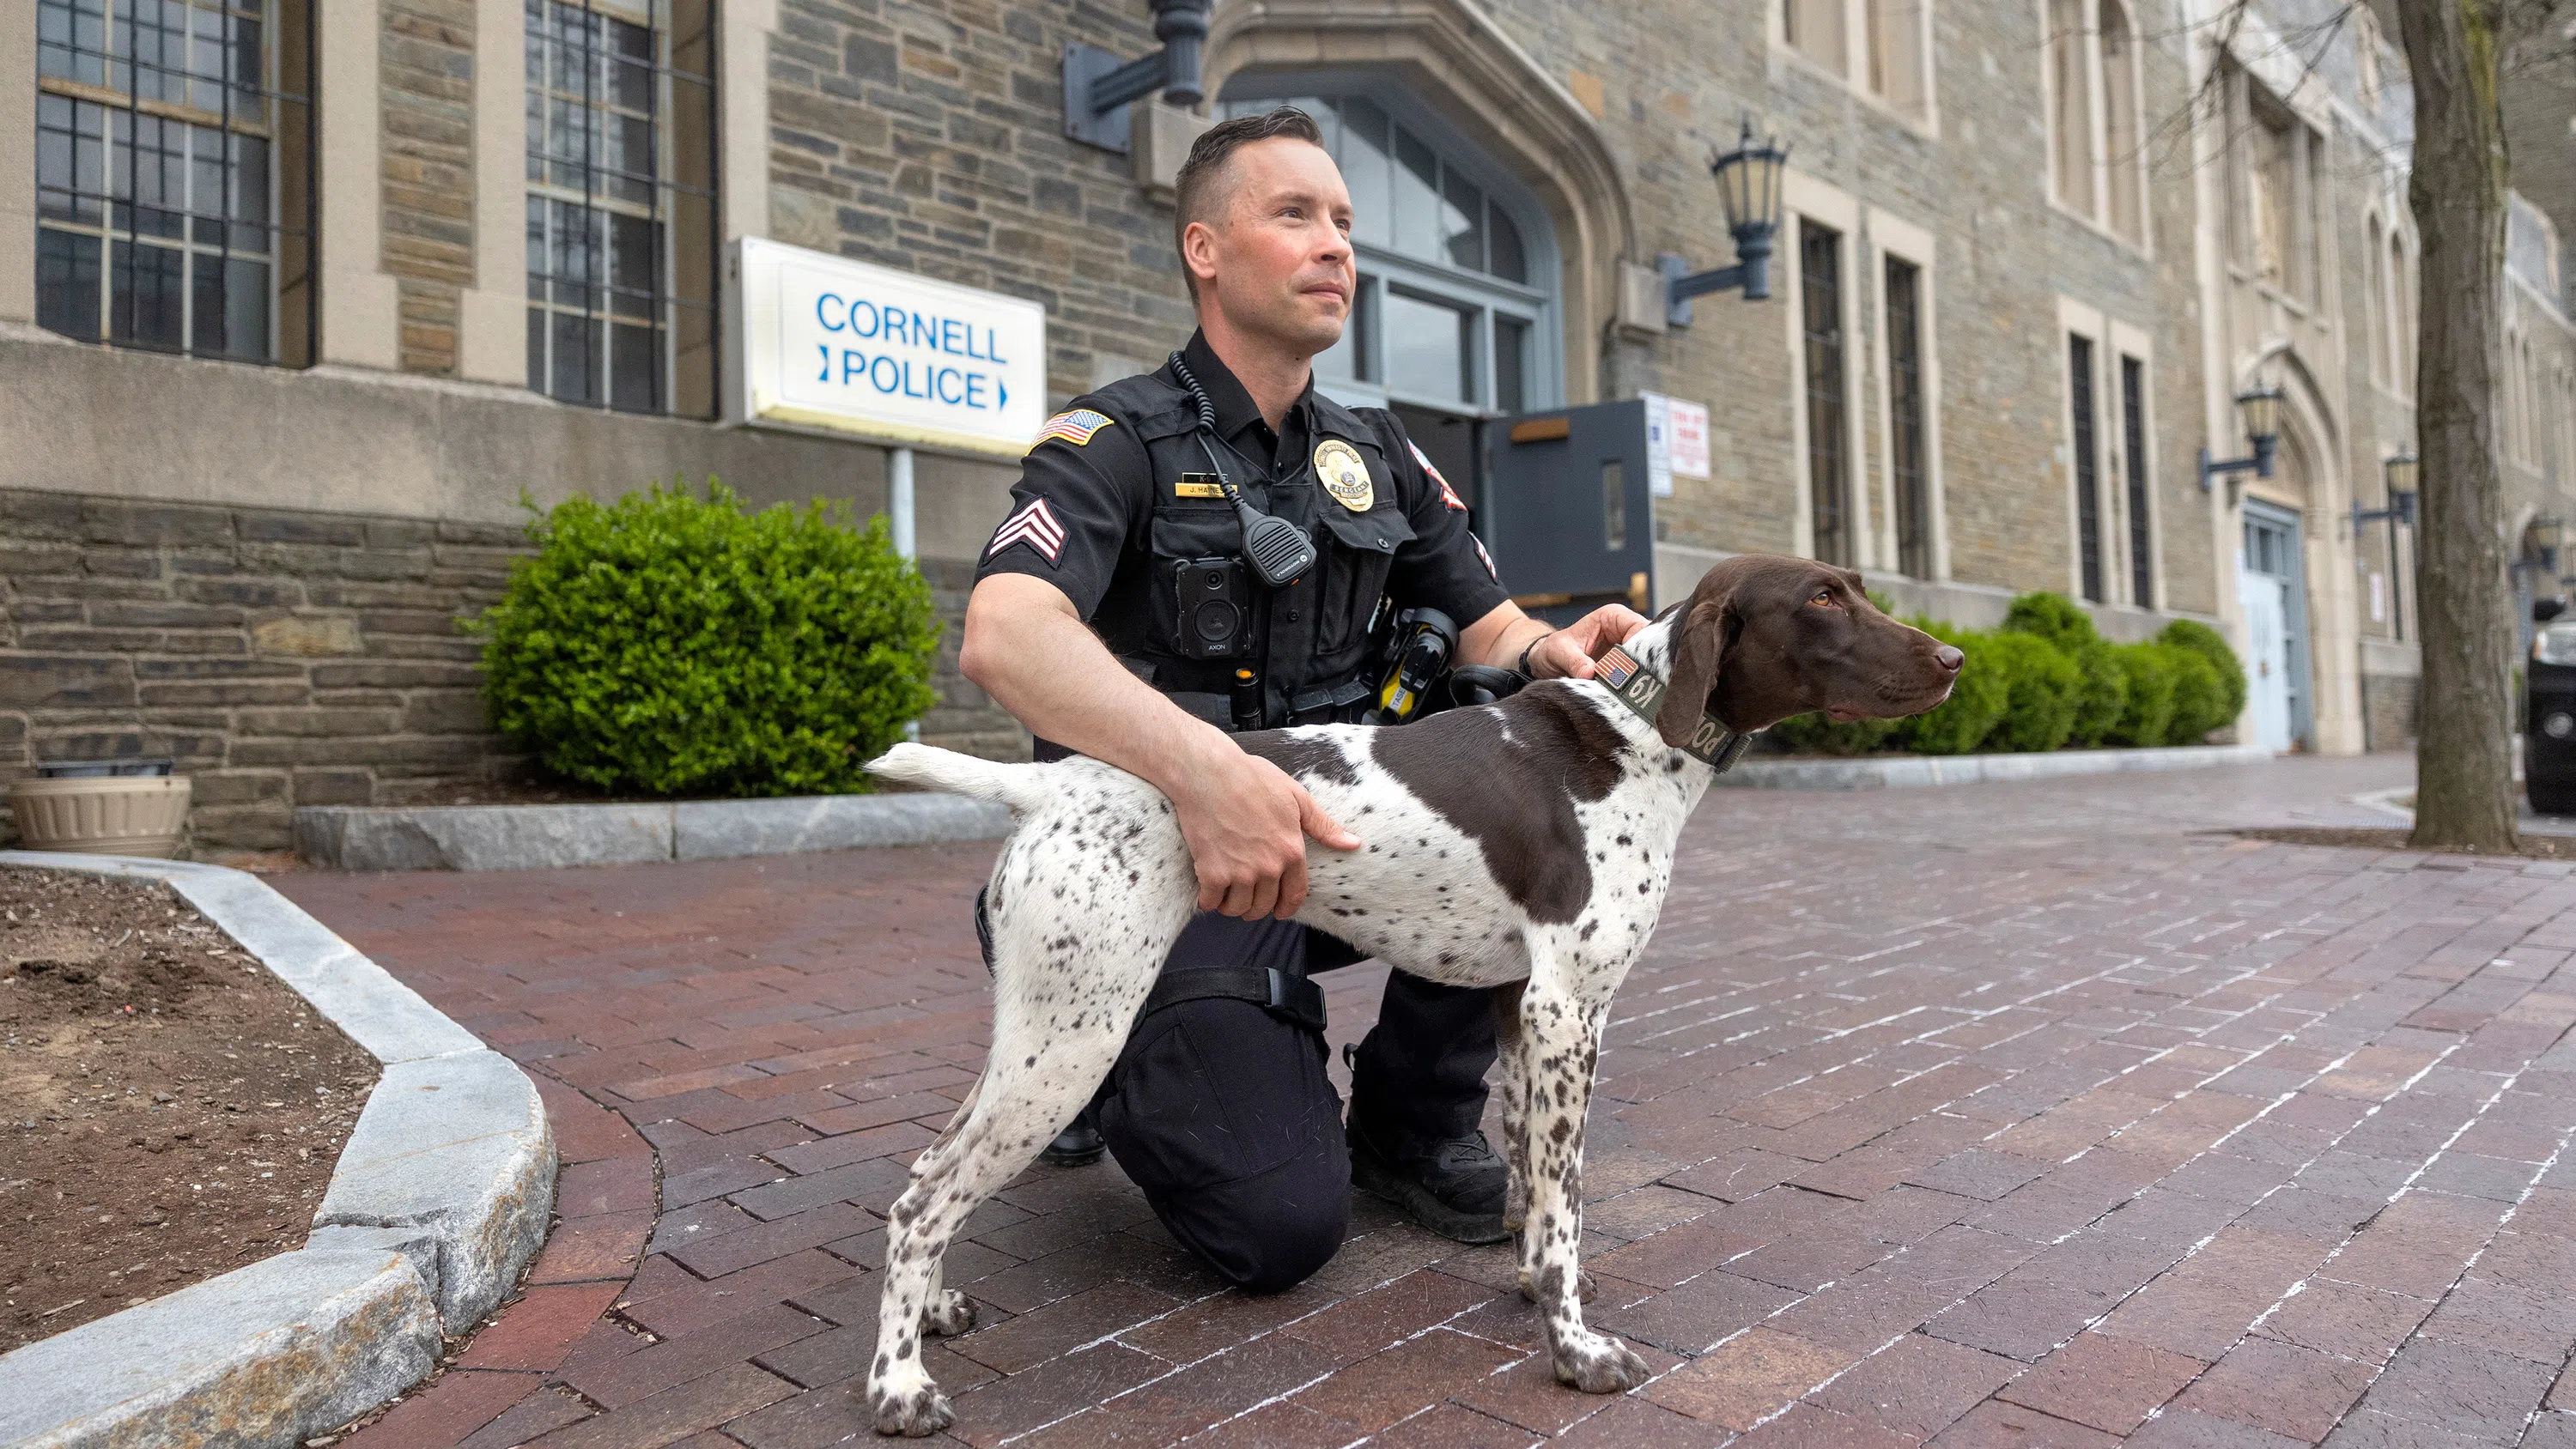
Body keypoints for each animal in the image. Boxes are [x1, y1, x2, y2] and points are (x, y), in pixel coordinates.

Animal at [855, 558, 1958, 1441]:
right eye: (1823, 598)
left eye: (1855, 586)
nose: (1952, 657)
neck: (1640, 733)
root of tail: (1053, 788)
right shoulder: (1571, 1011)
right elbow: (1566, 1200)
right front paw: (1575, 1346)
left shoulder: (1522, 1008)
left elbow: (1535, 1186)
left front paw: (1535, 1281)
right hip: (1076, 1036)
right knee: (920, 1201)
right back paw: (899, 1385)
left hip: (1040, 1026)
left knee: (925, 1170)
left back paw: (936, 1312)